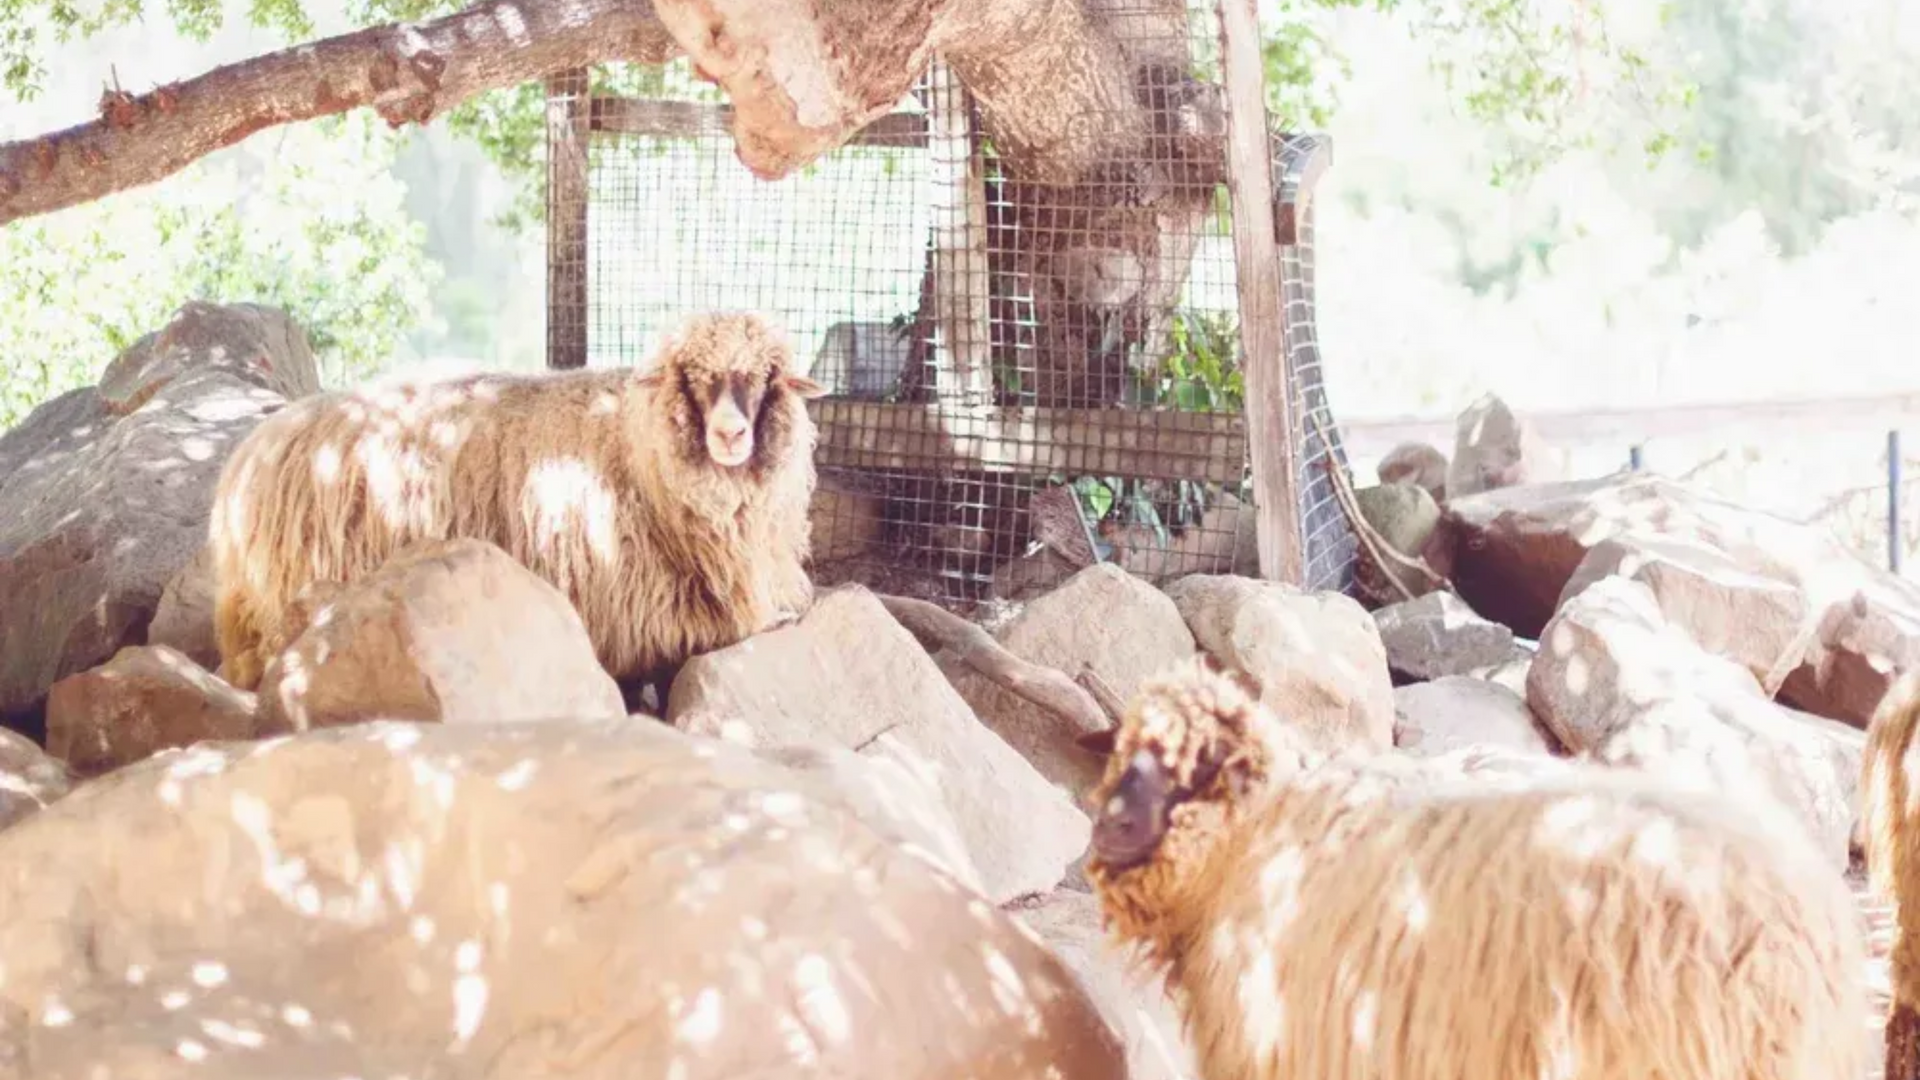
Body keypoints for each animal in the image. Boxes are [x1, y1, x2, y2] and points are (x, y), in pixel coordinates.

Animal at [208, 311, 826, 699]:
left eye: (766, 377)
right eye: (691, 377)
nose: (730, 434)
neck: (635, 444)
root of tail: (250, 455)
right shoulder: (623, 615)